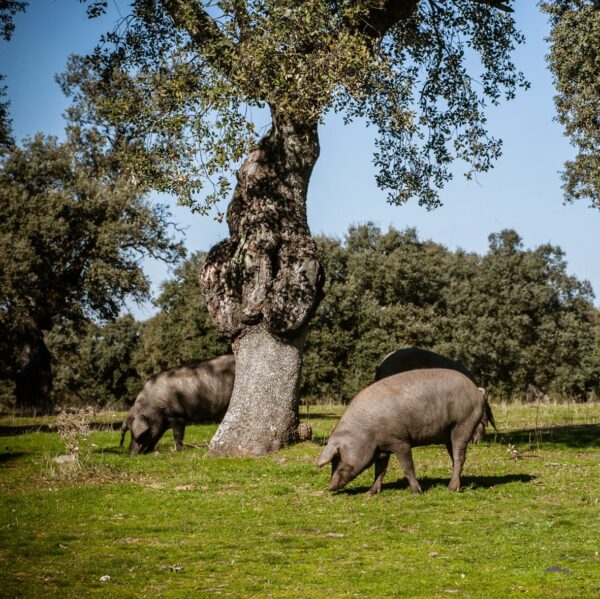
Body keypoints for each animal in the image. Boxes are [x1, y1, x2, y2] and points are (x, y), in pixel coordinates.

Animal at [316, 370, 494, 496]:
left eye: (338, 458)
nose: (329, 487)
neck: (365, 432)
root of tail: (477, 390)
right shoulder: (382, 448)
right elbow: (380, 470)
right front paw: (370, 493)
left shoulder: (400, 441)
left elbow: (407, 467)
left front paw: (416, 492)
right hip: (449, 434)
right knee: (456, 458)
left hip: (463, 423)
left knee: (459, 457)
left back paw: (451, 489)